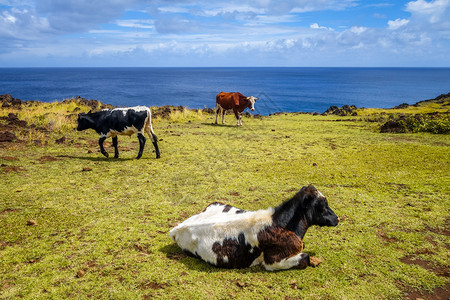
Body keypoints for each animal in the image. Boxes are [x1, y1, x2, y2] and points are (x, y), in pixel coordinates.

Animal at [171, 185, 340, 272]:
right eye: (322, 206)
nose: (337, 218)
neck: (281, 223)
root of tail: (177, 227)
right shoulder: (272, 262)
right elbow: (305, 257)